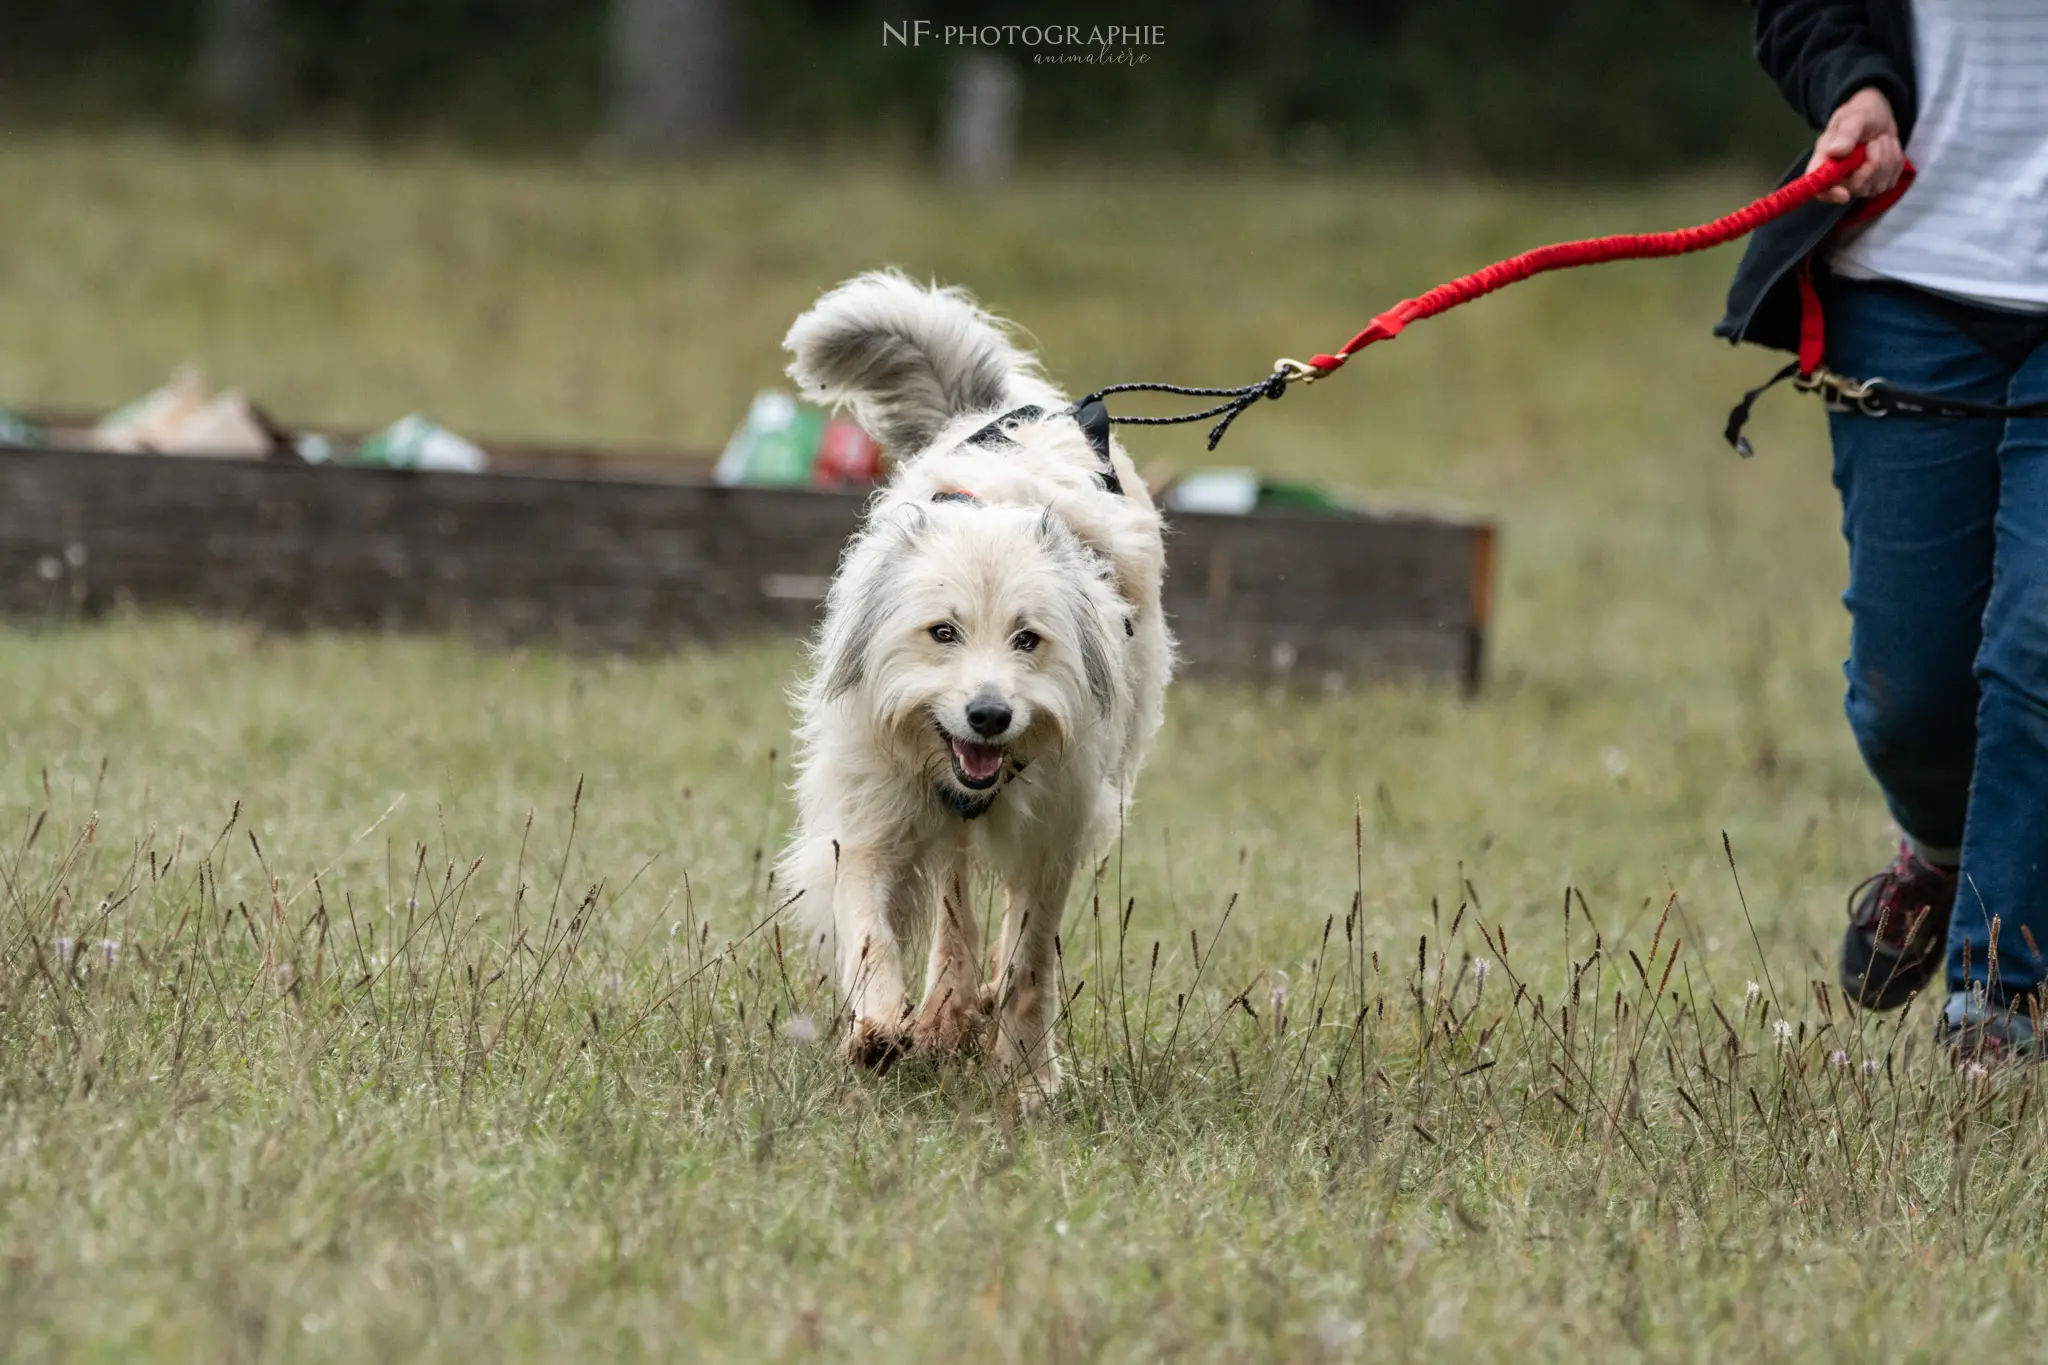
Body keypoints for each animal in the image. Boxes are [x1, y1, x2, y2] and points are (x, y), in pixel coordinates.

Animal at [778, 270, 1179, 1113]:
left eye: (1029, 638)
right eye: (943, 632)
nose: (989, 716)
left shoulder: (1055, 826)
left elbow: (1030, 958)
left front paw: (1026, 1073)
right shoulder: (875, 804)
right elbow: (871, 920)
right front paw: (881, 1026)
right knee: (954, 892)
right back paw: (944, 1005)